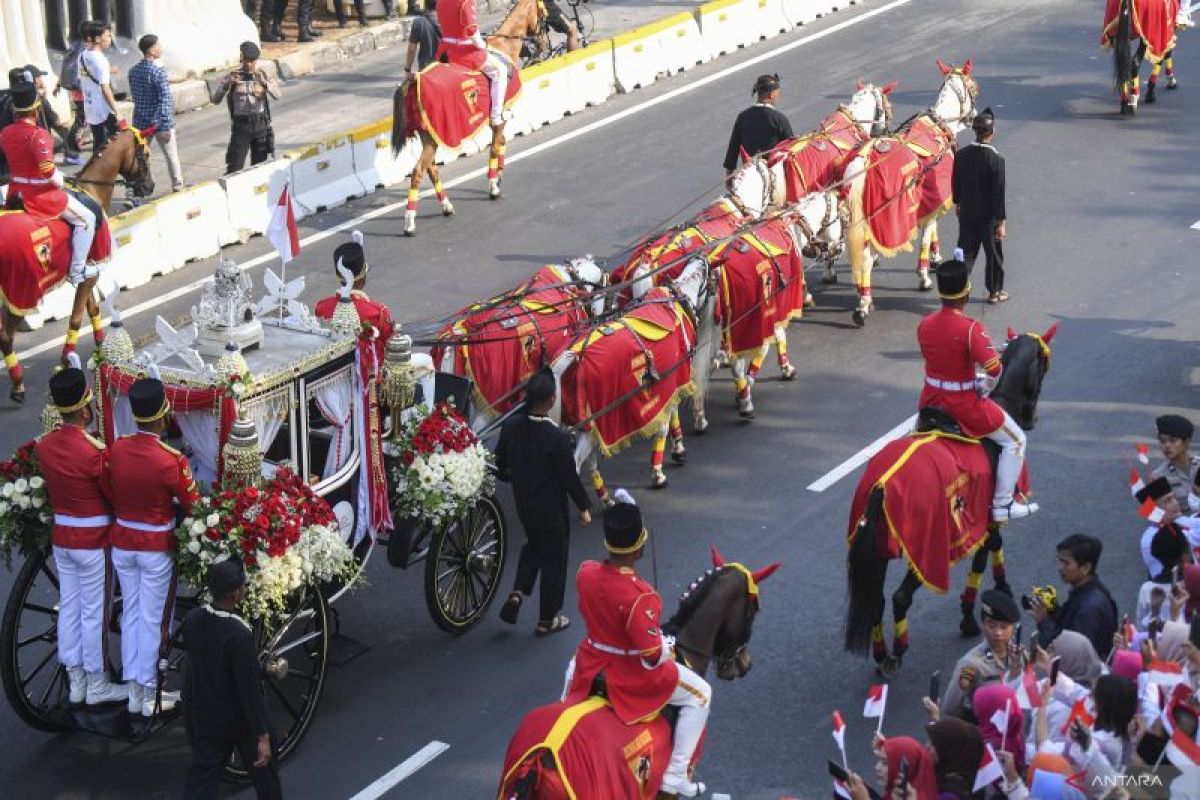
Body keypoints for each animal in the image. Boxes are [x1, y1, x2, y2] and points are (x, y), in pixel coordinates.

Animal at [0, 128, 154, 402]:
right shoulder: (88, 273)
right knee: (6, 336)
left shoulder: (86, 274)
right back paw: (17, 384)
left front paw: (102, 347)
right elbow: (75, 317)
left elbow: (91, 309)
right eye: (144, 153)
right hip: (21, 292)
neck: (91, 188)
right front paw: (66, 359)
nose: (149, 187)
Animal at [391, 0, 547, 236]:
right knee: (418, 171)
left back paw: (446, 205)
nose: (543, 43)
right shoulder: (499, 115)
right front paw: (493, 185)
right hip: (433, 137)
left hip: (428, 136)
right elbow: (495, 147)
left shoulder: (496, 119)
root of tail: (415, 78)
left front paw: (499, 175)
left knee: (431, 169)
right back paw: (410, 222)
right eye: (544, 14)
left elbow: (500, 143)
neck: (503, 46)